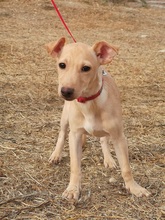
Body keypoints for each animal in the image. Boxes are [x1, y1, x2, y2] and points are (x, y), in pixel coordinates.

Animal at [45, 37, 150, 201]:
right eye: (62, 65)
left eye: (86, 68)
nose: (66, 91)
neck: (89, 103)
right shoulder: (74, 135)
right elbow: (75, 166)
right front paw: (72, 189)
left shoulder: (119, 137)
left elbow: (126, 167)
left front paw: (134, 188)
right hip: (65, 118)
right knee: (62, 135)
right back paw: (56, 155)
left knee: (103, 140)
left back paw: (108, 159)